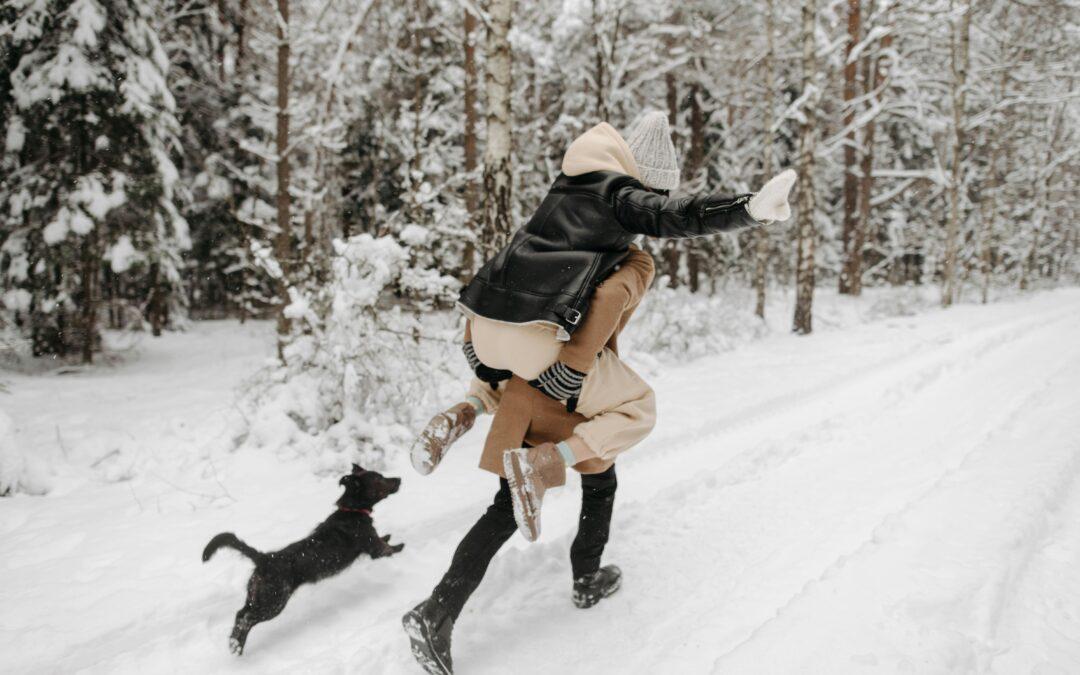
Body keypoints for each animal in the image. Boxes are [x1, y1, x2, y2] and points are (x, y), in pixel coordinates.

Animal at [203, 462, 406, 652]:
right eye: (379, 478)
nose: (399, 479)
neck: (352, 511)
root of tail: (264, 558)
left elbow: (384, 539)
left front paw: (388, 536)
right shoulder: (374, 547)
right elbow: (389, 548)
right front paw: (400, 546)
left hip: (256, 595)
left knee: (240, 613)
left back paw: (235, 645)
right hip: (273, 601)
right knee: (246, 618)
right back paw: (237, 646)